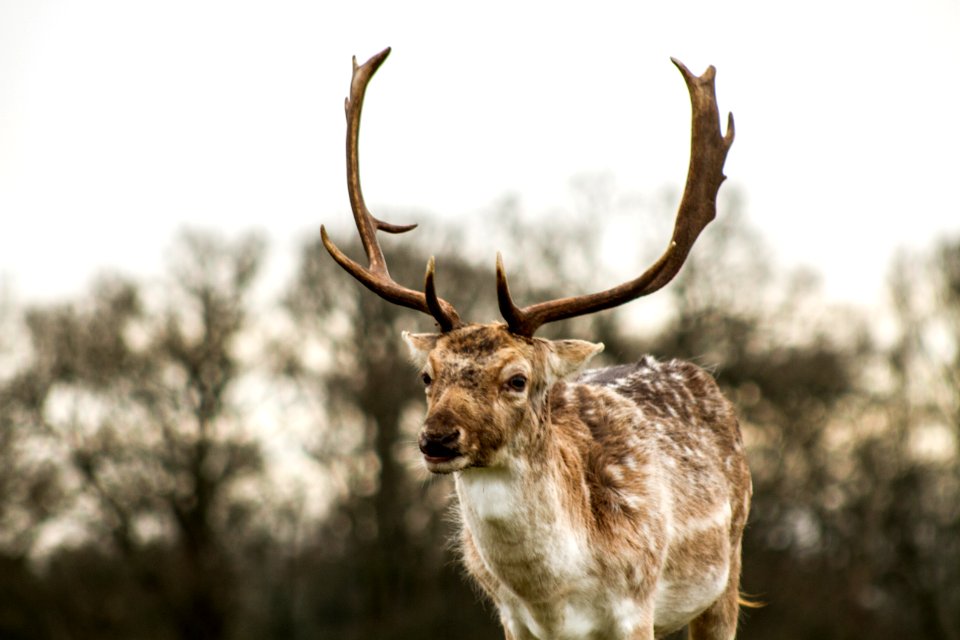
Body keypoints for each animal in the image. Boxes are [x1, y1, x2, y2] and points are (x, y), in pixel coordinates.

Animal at [320, 47, 752, 636]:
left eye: (517, 379)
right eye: (427, 375)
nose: (437, 438)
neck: (557, 600)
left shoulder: (635, 606)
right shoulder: (511, 618)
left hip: (726, 574)